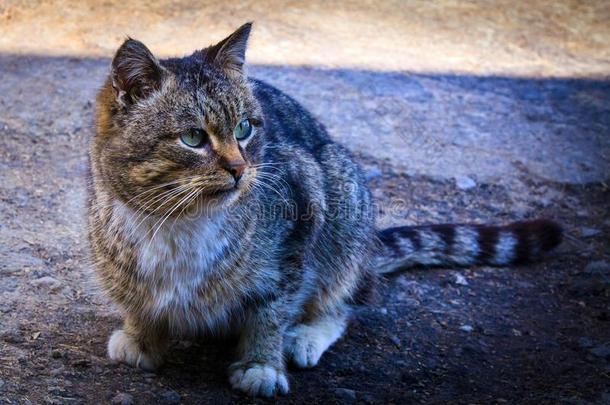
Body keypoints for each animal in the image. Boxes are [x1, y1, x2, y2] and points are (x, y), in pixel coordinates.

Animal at [86, 22, 560, 398]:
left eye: (245, 128)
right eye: (192, 138)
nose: (239, 169)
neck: (179, 222)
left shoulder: (300, 219)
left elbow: (271, 311)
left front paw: (260, 364)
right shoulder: (116, 257)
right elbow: (136, 300)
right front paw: (141, 338)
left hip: (343, 202)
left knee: (344, 300)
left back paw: (307, 334)